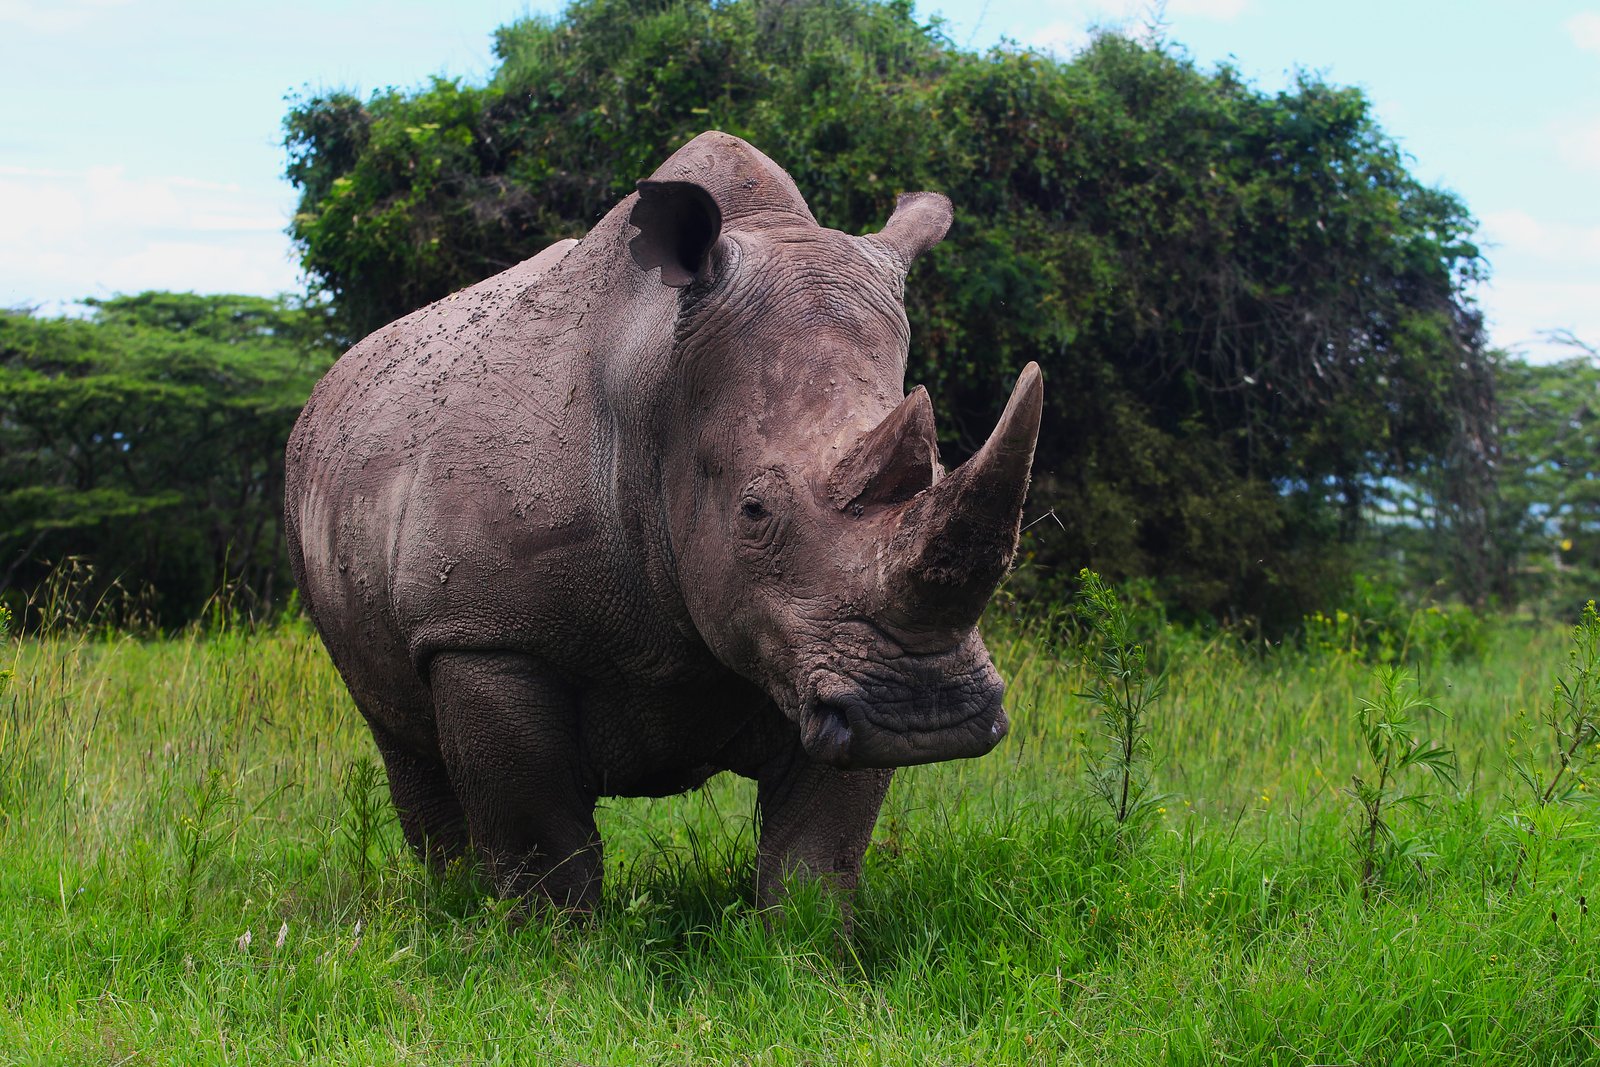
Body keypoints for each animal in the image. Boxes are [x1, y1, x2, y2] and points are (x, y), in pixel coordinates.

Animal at [284, 131, 1042, 914]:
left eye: (939, 471)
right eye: (753, 511)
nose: (927, 713)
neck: (656, 381)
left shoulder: (824, 658)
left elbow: (817, 847)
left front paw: (807, 937)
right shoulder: (482, 629)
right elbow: (540, 842)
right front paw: (549, 941)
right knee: (400, 737)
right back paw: (452, 900)